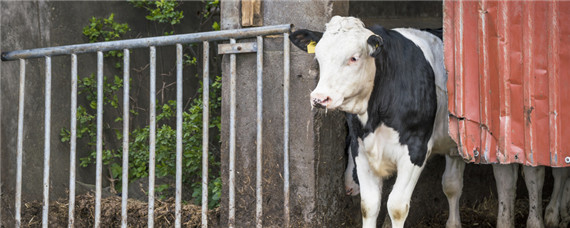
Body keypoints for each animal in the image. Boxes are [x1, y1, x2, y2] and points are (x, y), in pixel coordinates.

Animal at [290, 15, 464, 227]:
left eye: (354, 58)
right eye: (318, 57)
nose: (319, 98)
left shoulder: (416, 150)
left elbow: (397, 207)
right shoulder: (361, 148)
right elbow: (369, 205)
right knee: (452, 183)